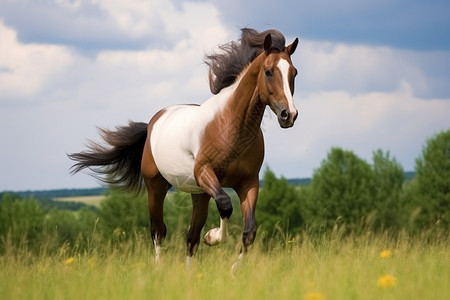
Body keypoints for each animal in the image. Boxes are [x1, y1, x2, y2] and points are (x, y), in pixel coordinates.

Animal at [68, 28, 298, 270]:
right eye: (268, 72)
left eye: (294, 72)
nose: (289, 115)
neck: (231, 126)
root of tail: (152, 123)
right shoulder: (204, 172)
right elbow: (225, 205)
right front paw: (212, 237)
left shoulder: (248, 182)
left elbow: (249, 231)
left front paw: (234, 270)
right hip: (156, 187)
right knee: (159, 231)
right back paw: (159, 269)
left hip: (200, 194)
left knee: (191, 237)